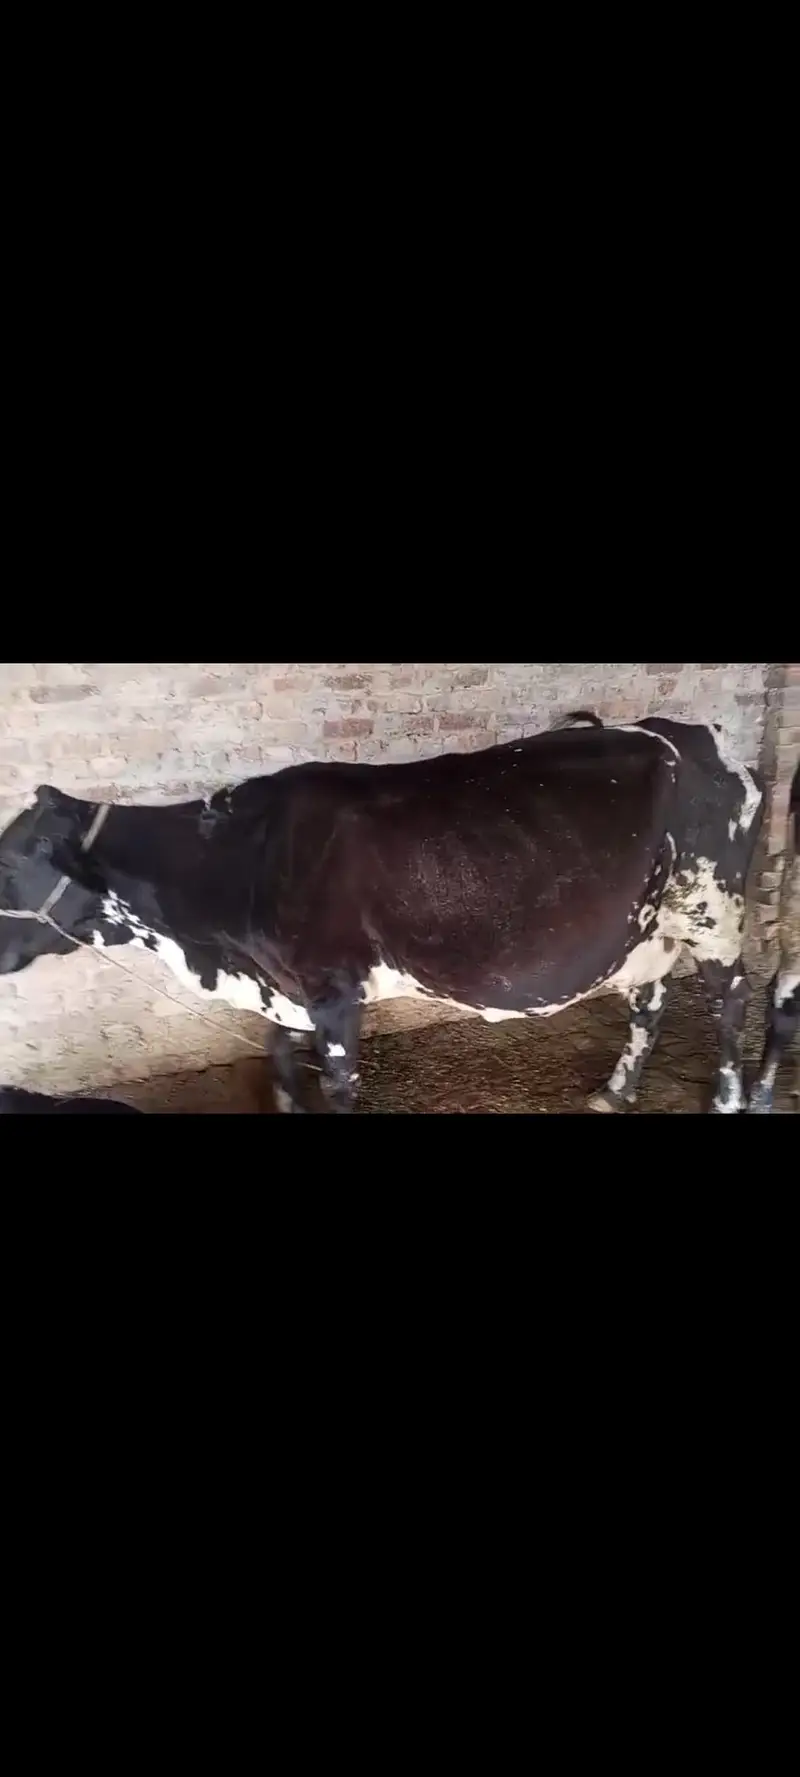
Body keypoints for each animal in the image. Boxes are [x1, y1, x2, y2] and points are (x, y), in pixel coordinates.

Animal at [0, 714, 764, 1114]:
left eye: (11, 864)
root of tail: (697, 733)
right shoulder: (282, 989)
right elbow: (279, 1062)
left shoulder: (335, 993)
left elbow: (338, 1087)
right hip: (648, 926)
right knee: (651, 1003)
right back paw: (615, 1091)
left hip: (713, 909)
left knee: (730, 1000)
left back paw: (731, 1097)